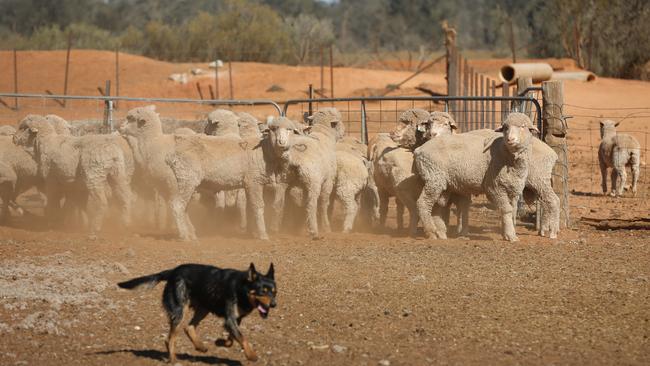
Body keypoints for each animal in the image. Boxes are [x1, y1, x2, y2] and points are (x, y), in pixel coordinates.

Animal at [117, 262, 274, 362]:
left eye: (274, 292)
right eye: (263, 291)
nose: (274, 304)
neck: (242, 288)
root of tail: (173, 271)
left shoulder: (235, 319)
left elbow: (232, 339)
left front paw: (220, 342)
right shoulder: (230, 319)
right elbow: (242, 338)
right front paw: (252, 356)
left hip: (204, 308)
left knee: (189, 327)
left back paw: (200, 347)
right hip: (180, 311)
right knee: (170, 339)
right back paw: (174, 360)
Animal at [412, 113, 540, 242]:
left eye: (523, 126)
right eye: (505, 128)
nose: (510, 139)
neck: (506, 155)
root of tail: (419, 150)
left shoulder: (514, 189)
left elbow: (512, 211)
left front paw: (507, 233)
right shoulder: (495, 187)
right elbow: (506, 210)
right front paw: (510, 235)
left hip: (441, 184)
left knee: (436, 207)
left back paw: (441, 234)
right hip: (433, 179)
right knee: (423, 203)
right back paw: (431, 232)